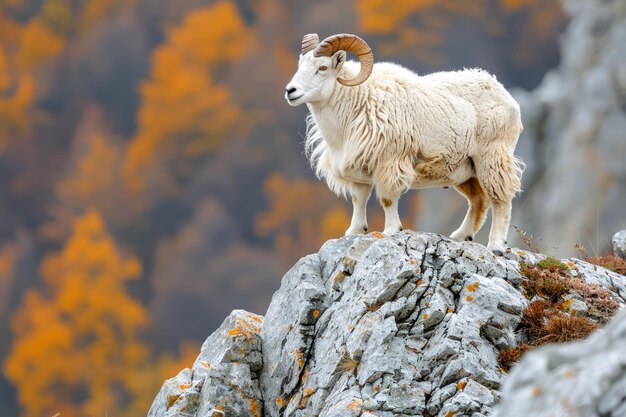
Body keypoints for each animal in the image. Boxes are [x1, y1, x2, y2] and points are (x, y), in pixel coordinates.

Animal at [286, 32, 524, 254]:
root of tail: (501, 90)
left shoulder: (390, 163)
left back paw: (496, 245)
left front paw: (392, 231)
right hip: (466, 169)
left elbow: (387, 199)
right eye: (300, 65)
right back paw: (460, 236)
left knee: (501, 200)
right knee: (478, 201)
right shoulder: (358, 171)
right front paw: (354, 232)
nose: (290, 91)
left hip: (492, 159)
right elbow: (358, 200)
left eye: (323, 67)